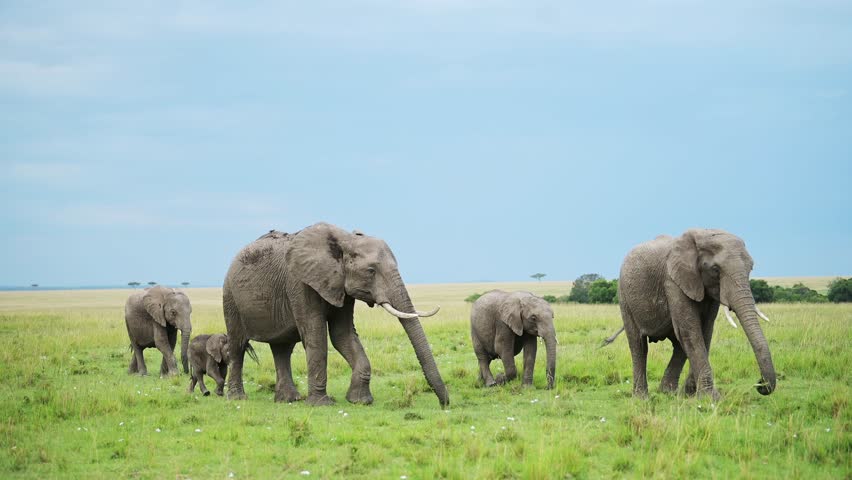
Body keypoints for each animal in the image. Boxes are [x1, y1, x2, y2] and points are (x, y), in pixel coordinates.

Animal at [222, 223, 449, 407]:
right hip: (230, 297)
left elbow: (343, 335)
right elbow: (316, 335)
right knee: (238, 345)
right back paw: (238, 398)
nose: (444, 404)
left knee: (282, 348)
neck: (345, 240)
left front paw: (360, 401)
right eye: (371, 271)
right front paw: (322, 404)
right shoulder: (300, 282)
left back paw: (289, 400)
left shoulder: (342, 287)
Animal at [609, 229, 776, 400]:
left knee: (678, 345)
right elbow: (691, 332)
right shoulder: (672, 281)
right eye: (715, 269)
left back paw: (668, 392)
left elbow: (705, 332)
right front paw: (711, 398)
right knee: (638, 345)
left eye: (751, 268)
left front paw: (691, 394)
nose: (760, 384)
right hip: (624, 297)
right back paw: (642, 398)